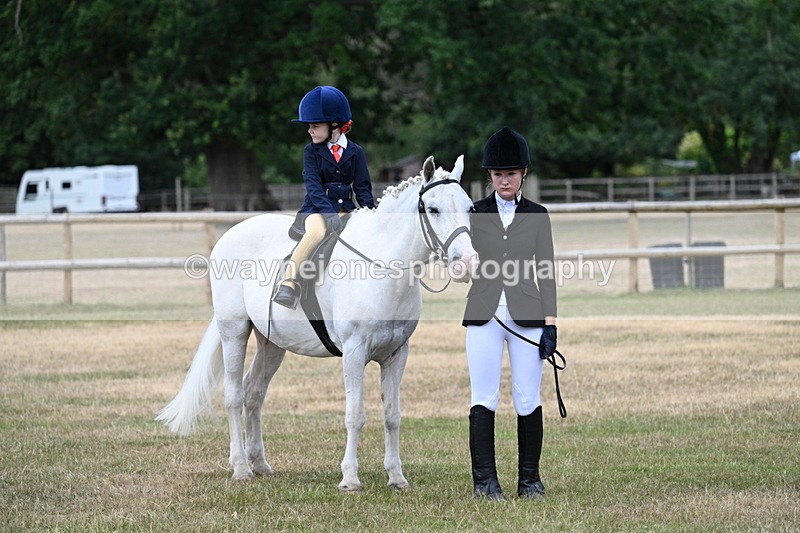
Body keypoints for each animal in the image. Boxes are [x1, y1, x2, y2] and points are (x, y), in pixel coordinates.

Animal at [156, 156, 477, 491]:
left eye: (470, 207)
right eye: (433, 209)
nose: (467, 264)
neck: (383, 267)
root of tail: (232, 233)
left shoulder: (396, 354)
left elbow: (392, 415)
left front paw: (396, 477)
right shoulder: (354, 352)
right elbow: (354, 415)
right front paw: (350, 478)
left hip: (272, 344)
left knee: (254, 393)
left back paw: (260, 464)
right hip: (234, 332)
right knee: (233, 396)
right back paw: (242, 468)